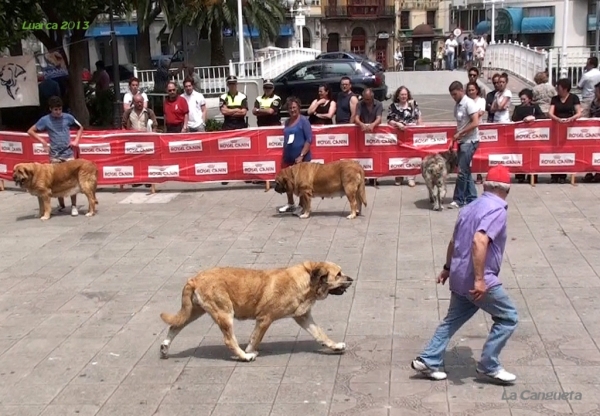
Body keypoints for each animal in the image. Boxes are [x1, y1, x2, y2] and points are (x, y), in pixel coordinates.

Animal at [162, 262, 354, 362]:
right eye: (338, 274)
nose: (352, 279)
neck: (306, 281)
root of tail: (194, 278)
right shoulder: (264, 319)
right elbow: (255, 338)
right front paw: (249, 350)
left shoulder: (303, 317)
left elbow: (321, 334)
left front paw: (335, 346)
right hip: (225, 314)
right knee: (229, 340)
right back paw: (244, 356)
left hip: (193, 312)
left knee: (174, 326)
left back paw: (164, 347)